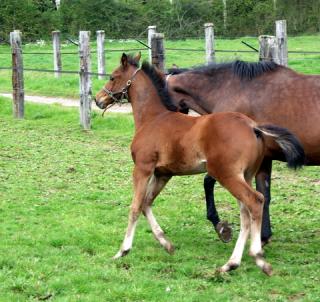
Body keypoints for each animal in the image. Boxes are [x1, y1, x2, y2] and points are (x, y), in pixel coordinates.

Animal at [94, 53, 304, 274]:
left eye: (112, 77)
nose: (98, 99)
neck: (153, 118)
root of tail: (253, 127)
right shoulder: (163, 173)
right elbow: (146, 203)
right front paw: (166, 244)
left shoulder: (143, 168)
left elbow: (135, 207)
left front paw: (123, 250)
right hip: (244, 175)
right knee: (245, 212)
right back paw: (231, 263)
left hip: (227, 174)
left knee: (255, 201)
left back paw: (257, 258)